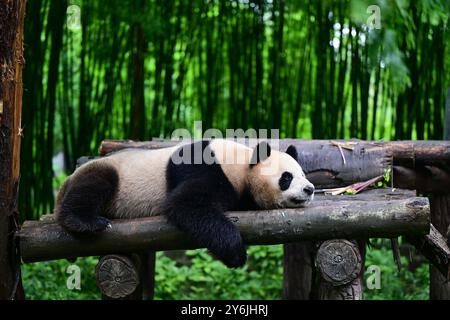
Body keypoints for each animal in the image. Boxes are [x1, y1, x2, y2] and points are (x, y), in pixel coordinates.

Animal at [54, 139, 314, 268]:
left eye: (303, 174)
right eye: (287, 177)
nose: (310, 189)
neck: (241, 163)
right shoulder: (205, 168)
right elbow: (186, 204)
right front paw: (236, 253)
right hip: (111, 175)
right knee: (94, 186)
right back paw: (86, 221)